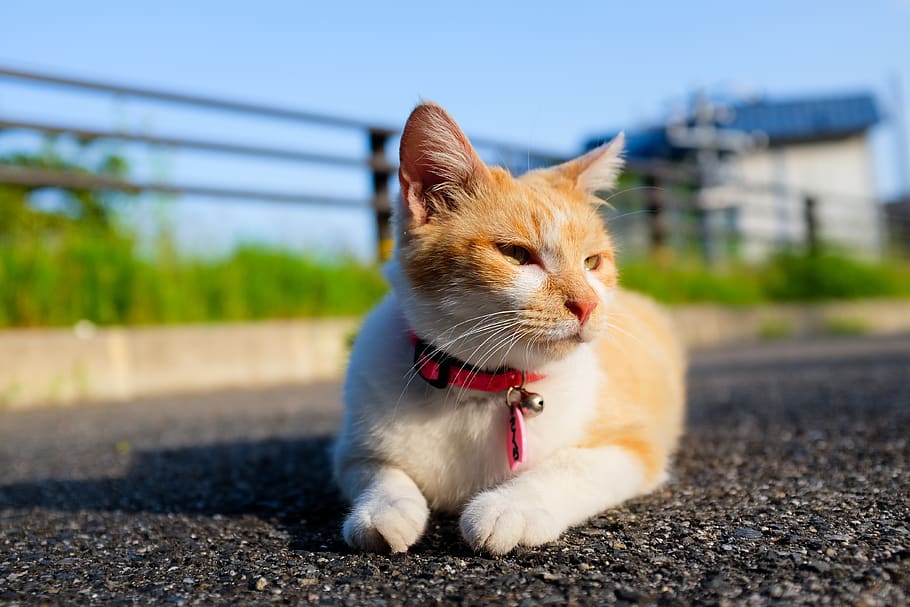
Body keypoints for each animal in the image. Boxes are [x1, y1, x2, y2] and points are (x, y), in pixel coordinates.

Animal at [334, 104, 684, 556]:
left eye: (592, 262)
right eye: (517, 254)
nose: (587, 304)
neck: (480, 389)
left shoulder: (633, 444)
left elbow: (571, 465)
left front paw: (508, 507)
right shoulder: (352, 453)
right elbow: (382, 473)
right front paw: (385, 511)